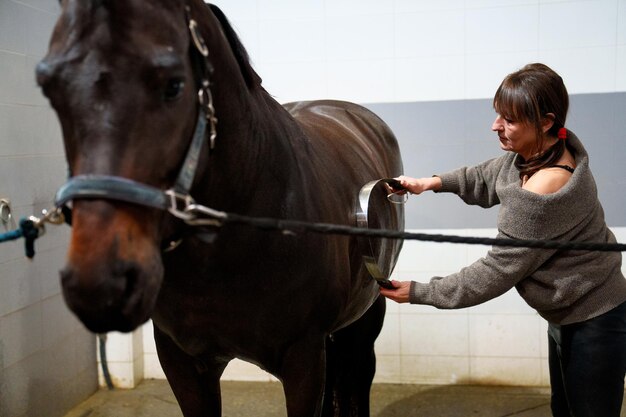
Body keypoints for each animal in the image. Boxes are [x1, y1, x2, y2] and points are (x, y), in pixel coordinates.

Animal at [37, 1, 400, 414]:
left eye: (174, 84)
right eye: (49, 87)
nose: (97, 284)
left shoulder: (304, 360)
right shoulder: (181, 361)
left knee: (357, 378)